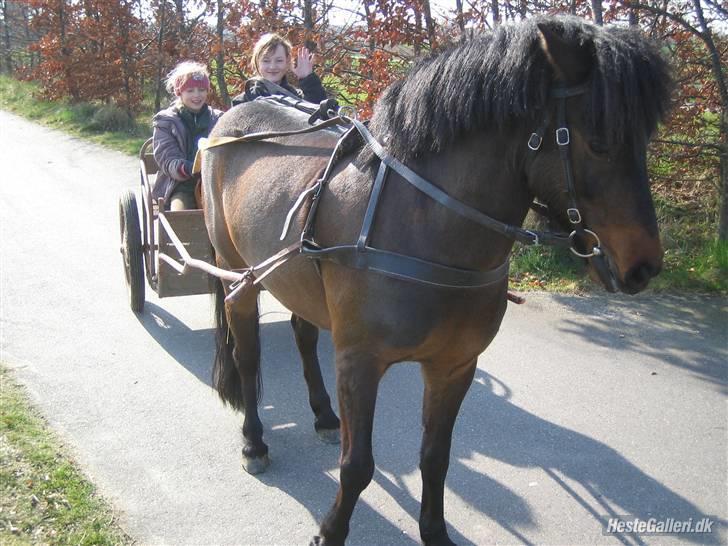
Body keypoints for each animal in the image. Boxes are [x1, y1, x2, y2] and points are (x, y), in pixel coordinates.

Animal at [199, 14, 672, 540]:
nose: (644, 265)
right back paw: (254, 441)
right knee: (246, 357)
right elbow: (357, 466)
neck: (421, 225)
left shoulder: (454, 366)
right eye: (599, 142)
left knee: (304, 335)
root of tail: (230, 121)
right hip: (237, 276)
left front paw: (434, 529)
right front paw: (331, 530)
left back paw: (322, 415)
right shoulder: (359, 363)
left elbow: (435, 459)